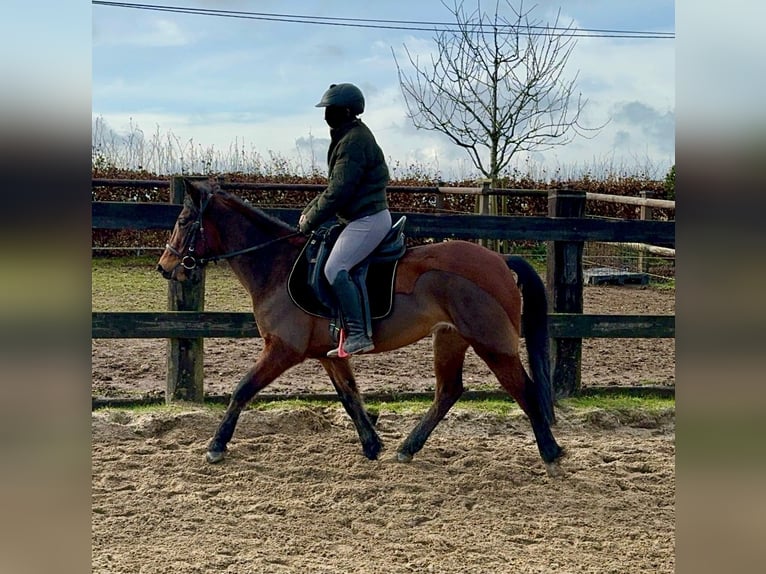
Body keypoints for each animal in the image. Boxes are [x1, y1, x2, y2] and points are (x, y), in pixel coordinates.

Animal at [158, 180, 564, 476]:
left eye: (183, 222)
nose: (165, 267)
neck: (276, 265)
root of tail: (499, 259)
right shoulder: (330, 355)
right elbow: (350, 396)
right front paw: (372, 445)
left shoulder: (282, 349)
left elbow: (242, 389)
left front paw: (216, 446)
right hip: (450, 339)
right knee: (448, 391)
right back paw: (407, 448)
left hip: (492, 343)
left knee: (524, 390)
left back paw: (552, 454)